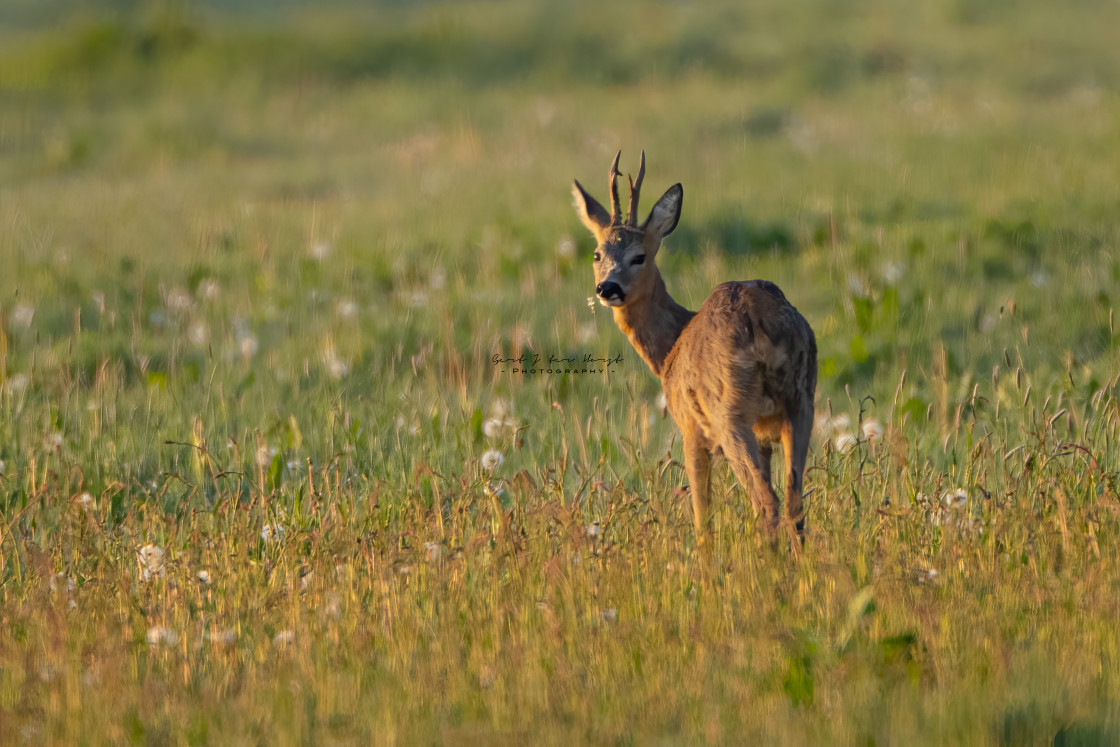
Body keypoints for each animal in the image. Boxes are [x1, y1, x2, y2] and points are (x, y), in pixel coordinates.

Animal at [573, 152, 819, 546]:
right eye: (597, 254)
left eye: (640, 256)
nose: (607, 287)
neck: (669, 349)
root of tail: (757, 316)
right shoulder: (767, 434)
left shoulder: (690, 431)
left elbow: (702, 518)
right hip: (801, 400)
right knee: (794, 503)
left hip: (730, 414)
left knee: (767, 502)